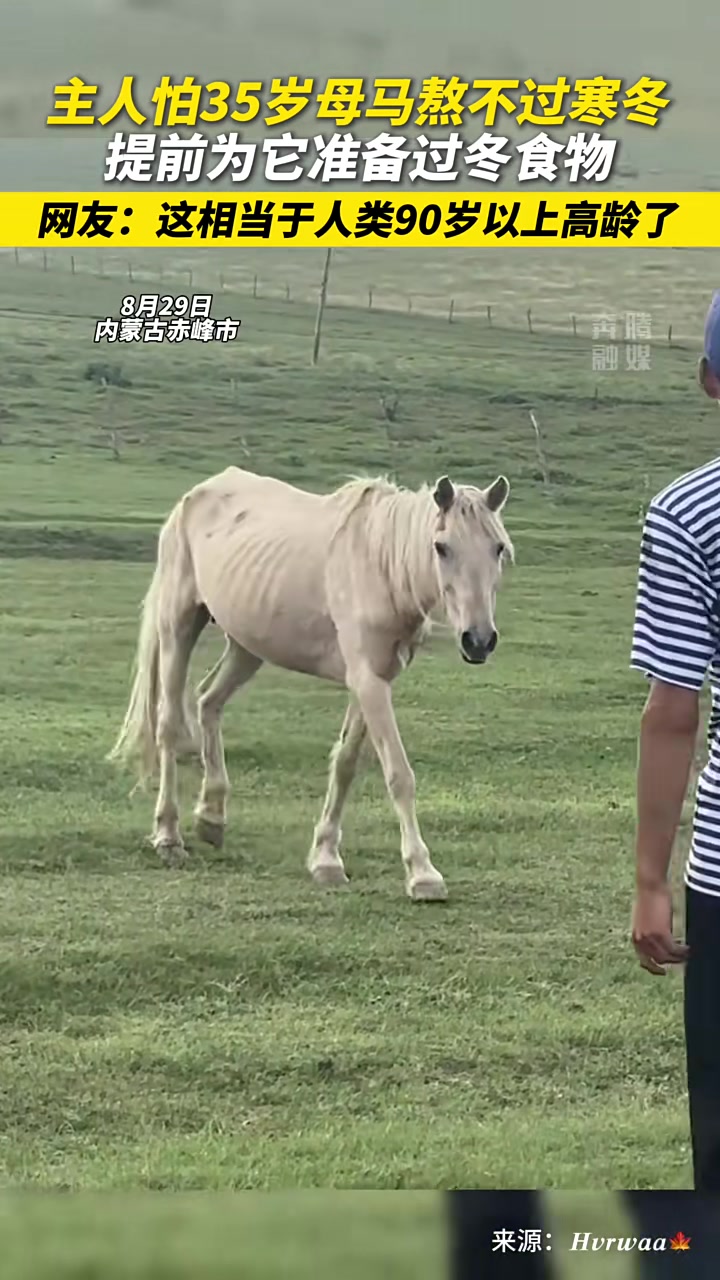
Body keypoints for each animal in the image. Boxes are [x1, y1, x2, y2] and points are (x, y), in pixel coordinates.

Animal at [108, 466, 513, 901]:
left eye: (498, 548)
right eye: (441, 547)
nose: (478, 640)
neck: (380, 566)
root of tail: (198, 492)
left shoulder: (374, 678)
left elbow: (346, 764)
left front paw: (326, 858)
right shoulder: (368, 681)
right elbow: (398, 774)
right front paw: (423, 873)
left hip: (248, 645)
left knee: (207, 701)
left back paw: (212, 817)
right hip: (178, 624)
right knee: (168, 725)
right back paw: (168, 835)